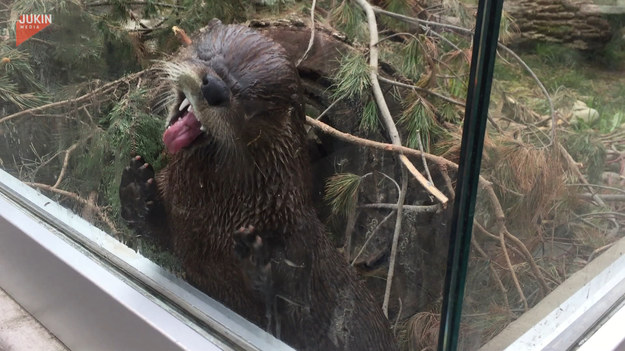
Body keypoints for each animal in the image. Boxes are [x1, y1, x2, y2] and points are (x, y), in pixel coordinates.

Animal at [119, 20, 398, 351]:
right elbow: (157, 233)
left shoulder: (298, 254)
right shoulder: (180, 219)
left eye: (249, 100)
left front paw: (256, 258)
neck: (215, 217)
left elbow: (285, 312)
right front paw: (136, 190)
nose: (214, 88)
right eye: (206, 54)